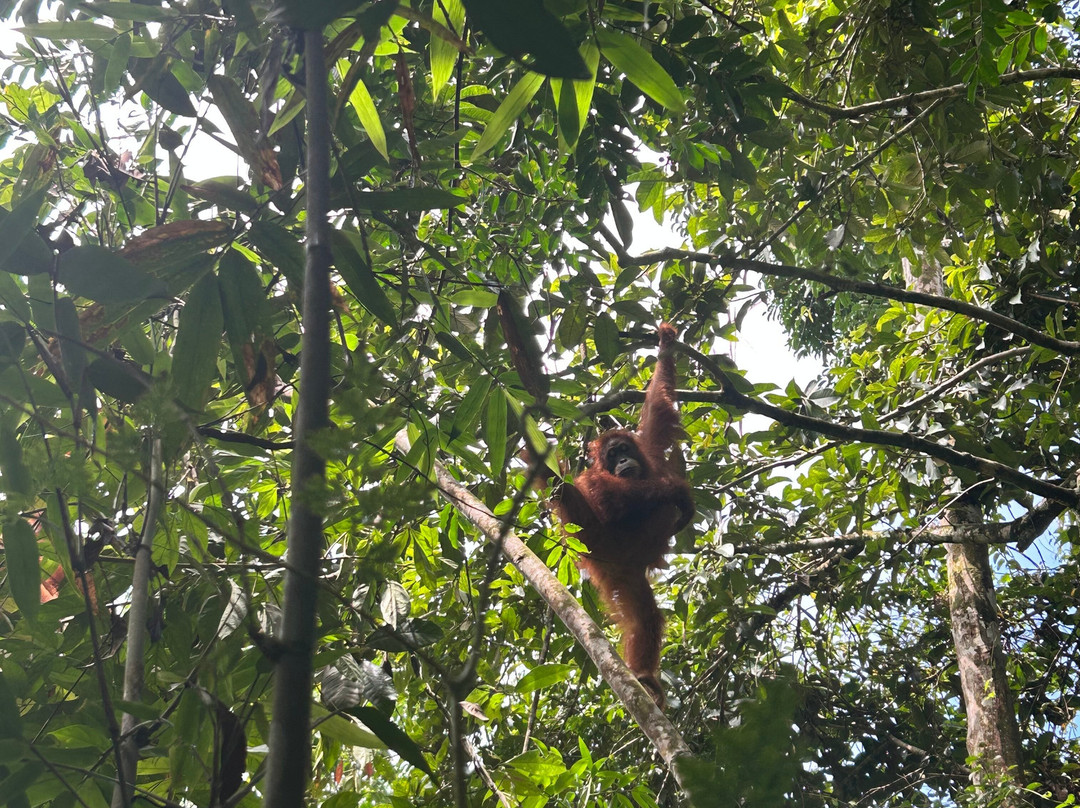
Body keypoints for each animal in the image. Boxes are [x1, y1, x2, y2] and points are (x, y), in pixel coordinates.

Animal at [552, 323, 693, 706]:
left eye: (624, 450)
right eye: (612, 456)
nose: (623, 461)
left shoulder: (651, 449)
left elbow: (658, 407)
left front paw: (665, 343)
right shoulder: (593, 479)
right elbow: (605, 497)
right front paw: (679, 492)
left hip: (627, 574)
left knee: (645, 619)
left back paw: (643, 676)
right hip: (605, 554)